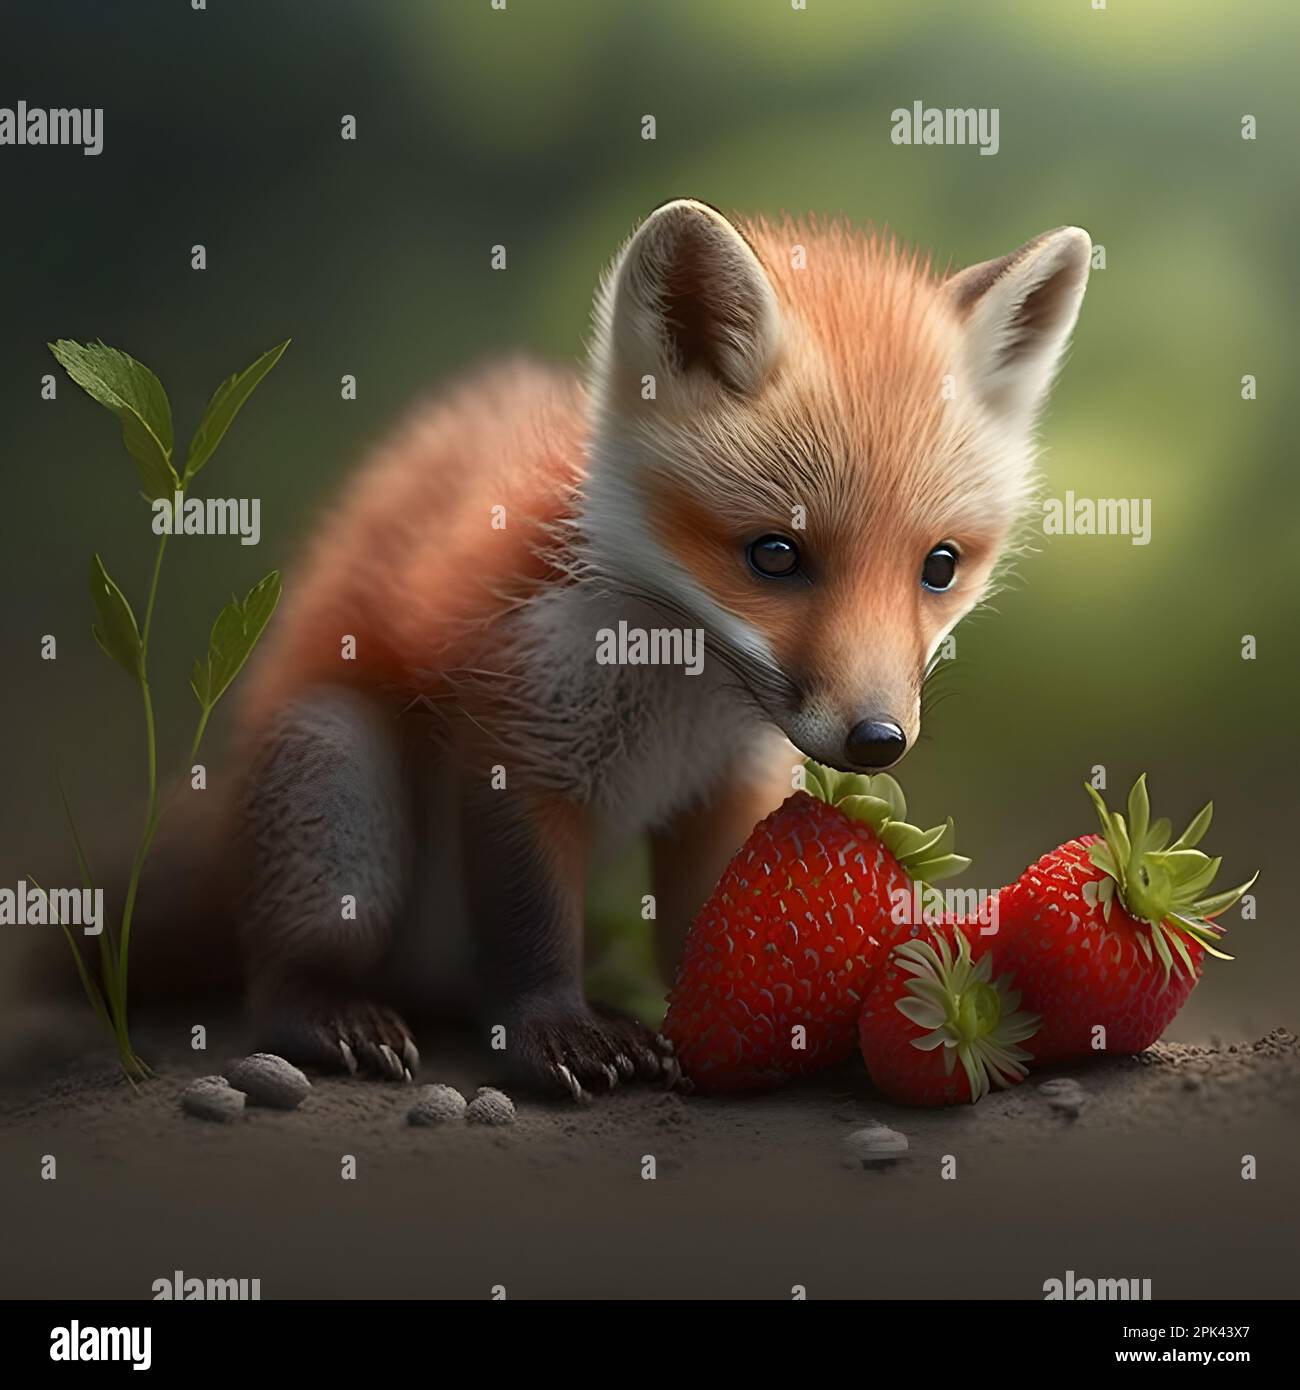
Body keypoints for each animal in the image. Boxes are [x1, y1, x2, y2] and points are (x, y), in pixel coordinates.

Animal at [141, 199, 1092, 1100]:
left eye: (940, 567)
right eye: (774, 554)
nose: (877, 742)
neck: (677, 698)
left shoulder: (727, 785)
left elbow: (707, 936)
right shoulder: (517, 743)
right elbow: (529, 932)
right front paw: (554, 1034)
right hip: (338, 783)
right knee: (274, 984)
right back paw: (328, 1013)